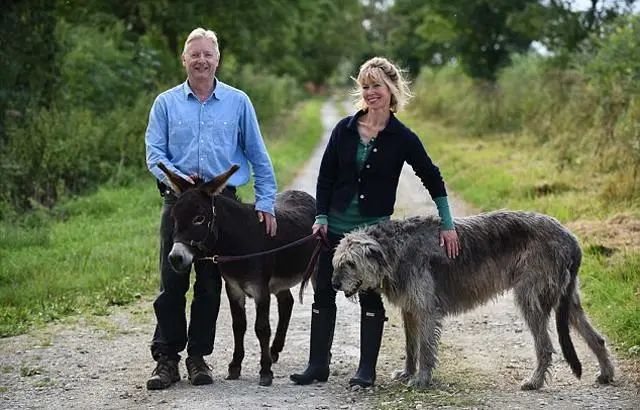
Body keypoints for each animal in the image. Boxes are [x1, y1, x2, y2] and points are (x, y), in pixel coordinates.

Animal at [330, 211, 616, 390]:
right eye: (336, 263)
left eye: (350, 263)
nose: (334, 284)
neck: (394, 250)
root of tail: (572, 239)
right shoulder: (410, 310)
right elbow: (411, 347)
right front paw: (408, 373)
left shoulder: (426, 309)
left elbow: (425, 348)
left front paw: (421, 380)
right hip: (566, 298)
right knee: (596, 337)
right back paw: (606, 373)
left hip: (530, 296)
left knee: (545, 347)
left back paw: (534, 382)